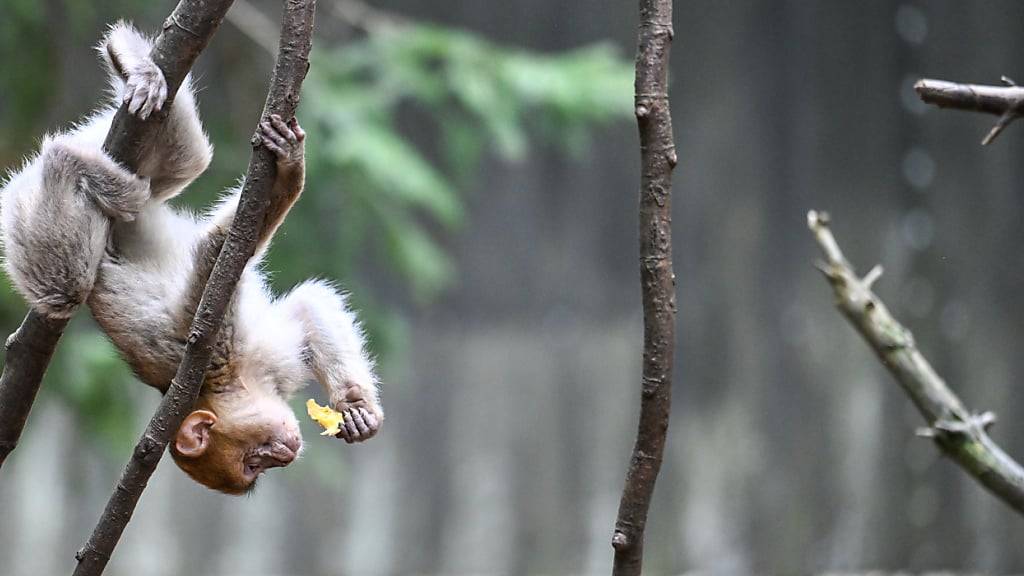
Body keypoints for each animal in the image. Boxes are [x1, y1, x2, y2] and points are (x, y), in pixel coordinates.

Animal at [0, 20, 385, 491]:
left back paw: (134, 66)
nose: (287, 454)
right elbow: (219, 250)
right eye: (256, 463)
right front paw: (292, 173)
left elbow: (305, 303)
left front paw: (356, 409)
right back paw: (64, 161)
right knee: (66, 291)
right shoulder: (213, 346)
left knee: (184, 160)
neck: (236, 380)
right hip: (26, 209)